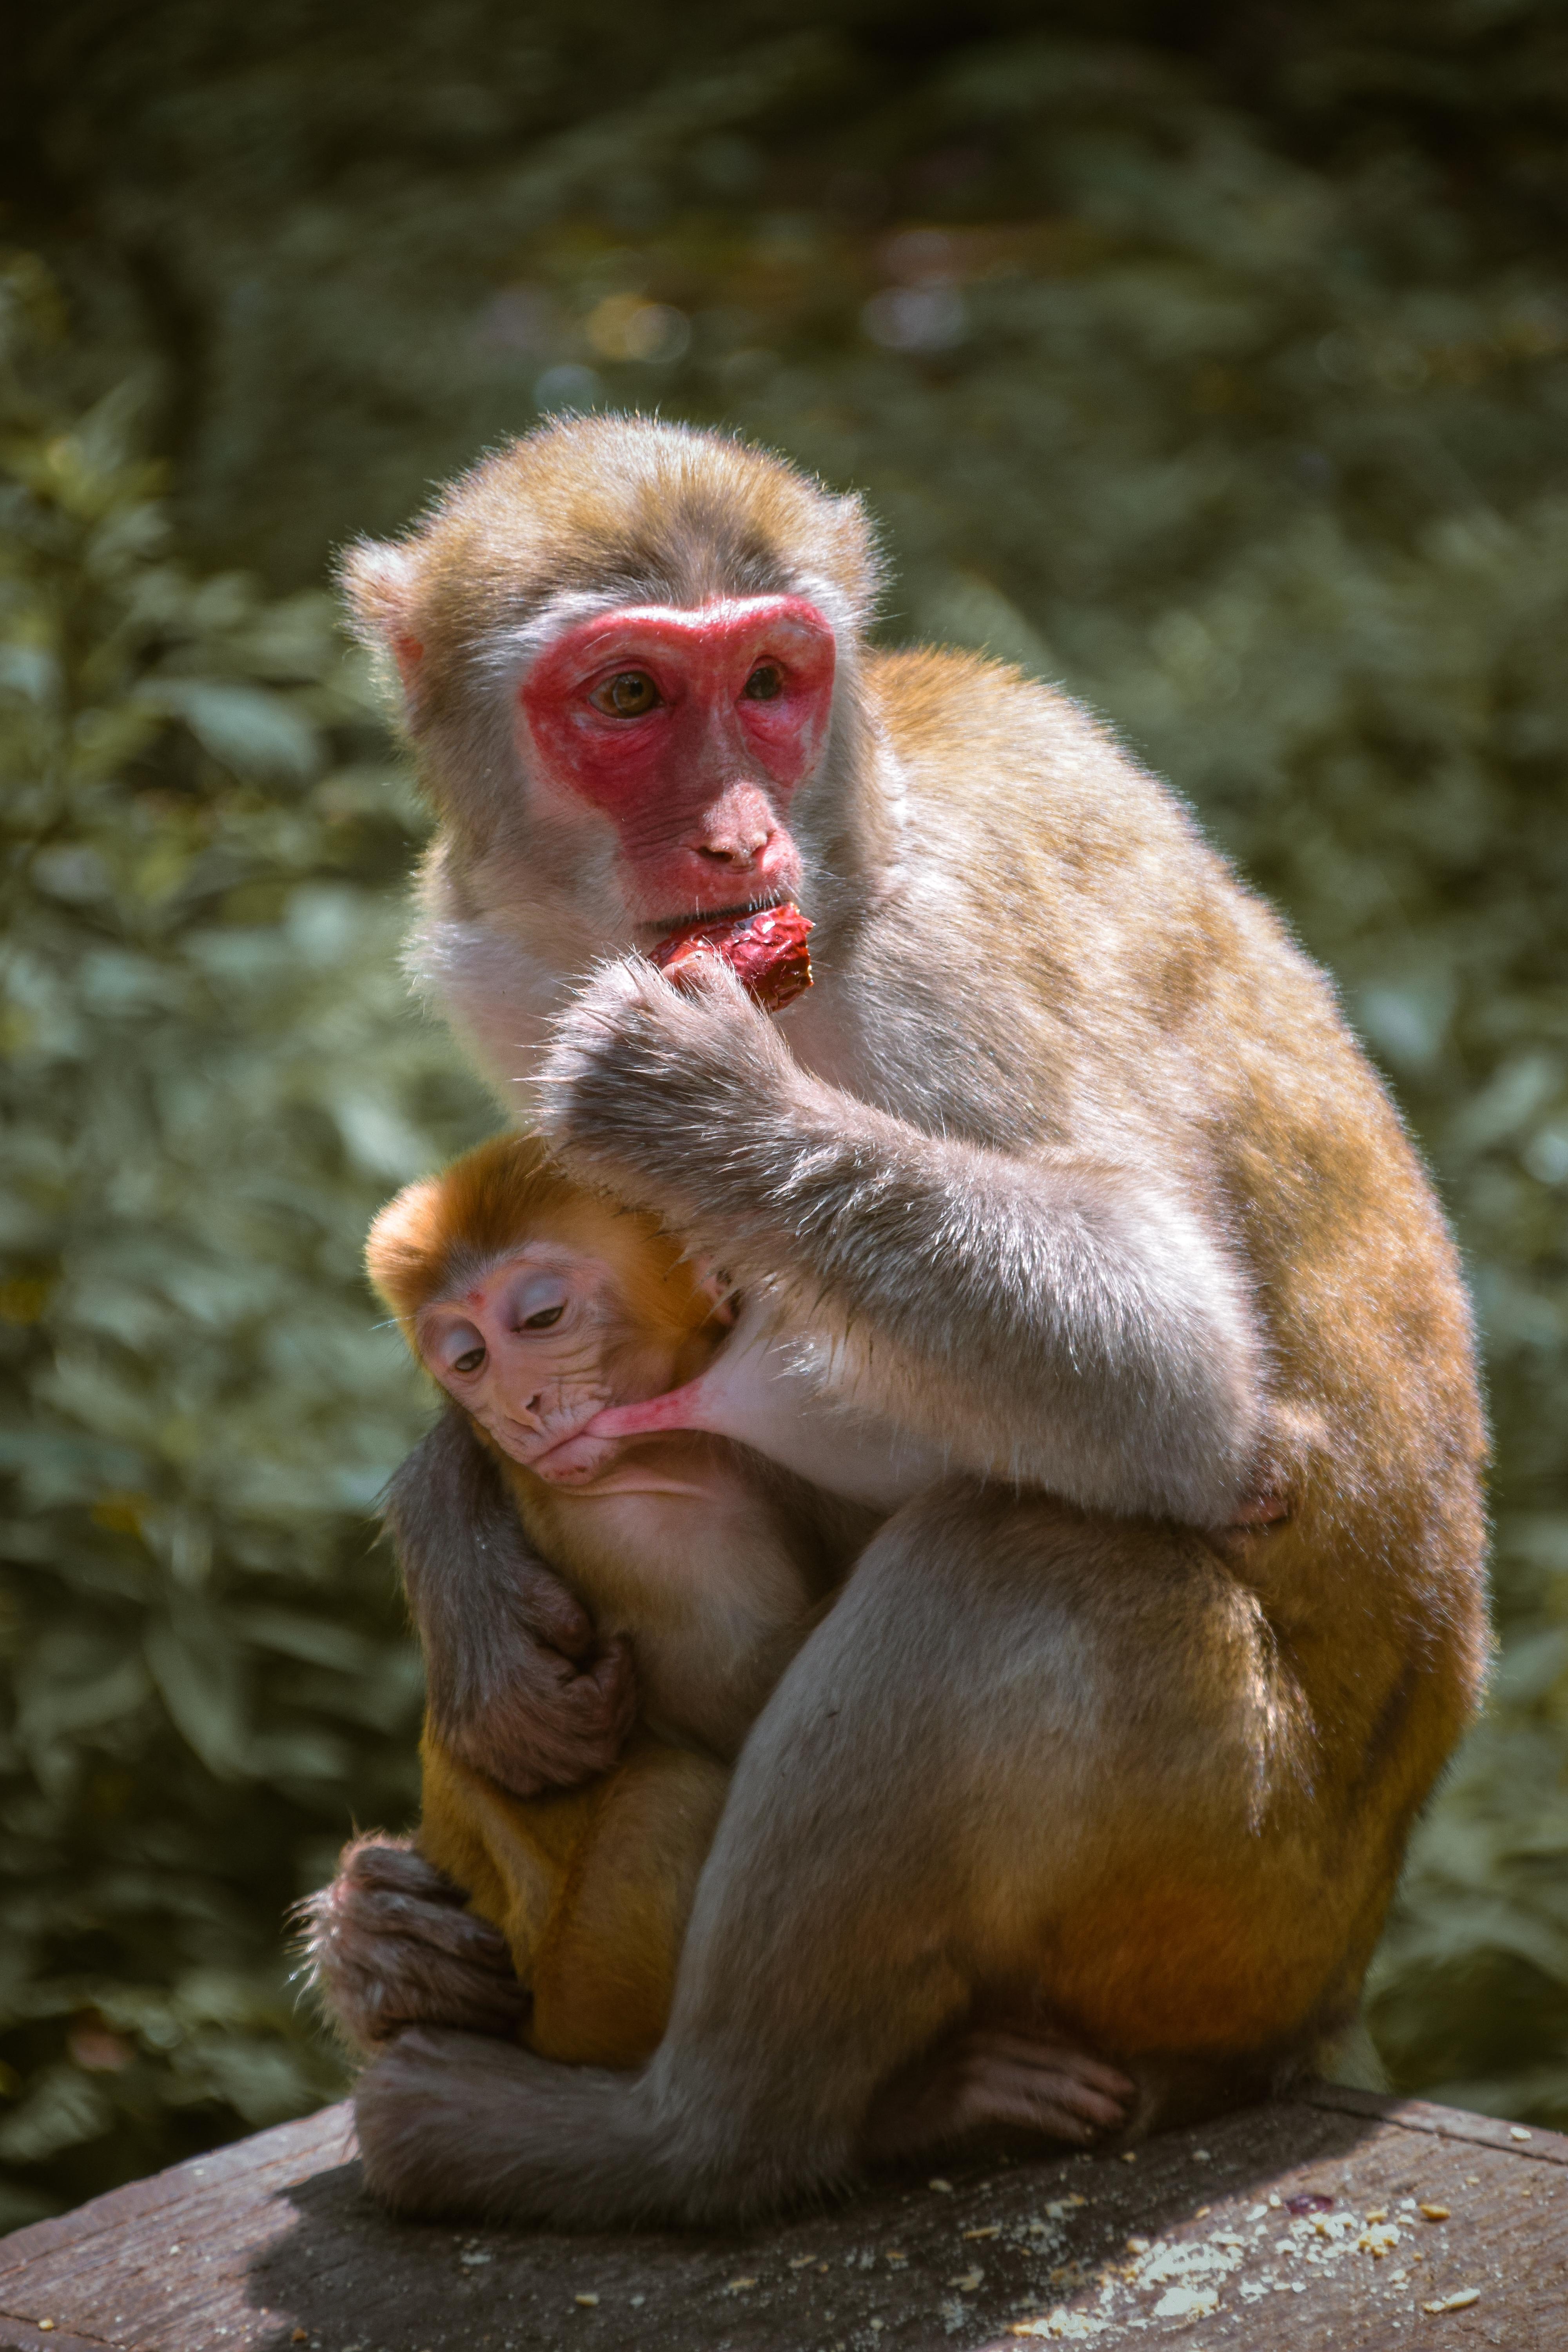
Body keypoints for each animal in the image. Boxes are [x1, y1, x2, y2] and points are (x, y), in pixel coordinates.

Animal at [369, 1129, 869, 2070]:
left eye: (539, 1318)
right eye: (468, 1359)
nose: (518, 1405)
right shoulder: (637, 1527)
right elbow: (745, 1708)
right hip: (588, 1994)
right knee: (670, 1799)